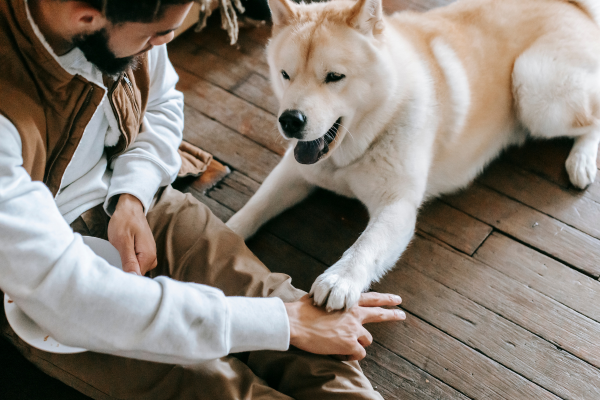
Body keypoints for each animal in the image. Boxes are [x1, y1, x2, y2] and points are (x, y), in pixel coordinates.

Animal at [227, 0, 600, 310]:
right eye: (285, 75)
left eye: (334, 77)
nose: (290, 120)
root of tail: (571, 5)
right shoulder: (295, 171)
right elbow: (255, 207)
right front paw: (225, 234)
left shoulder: (397, 205)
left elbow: (366, 245)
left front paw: (340, 279)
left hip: (534, 88)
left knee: (593, 118)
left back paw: (581, 161)